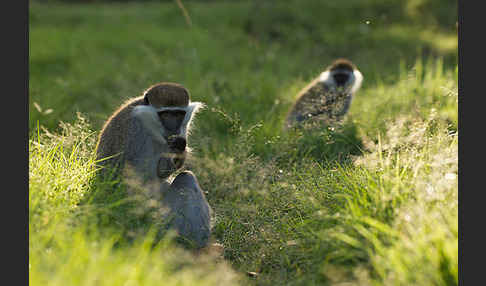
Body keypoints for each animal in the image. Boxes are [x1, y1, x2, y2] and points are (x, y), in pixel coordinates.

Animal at [96, 82, 212, 248]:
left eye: (178, 114)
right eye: (165, 114)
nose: (173, 128)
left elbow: (161, 172)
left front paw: (179, 150)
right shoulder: (136, 132)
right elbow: (136, 178)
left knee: (186, 177)